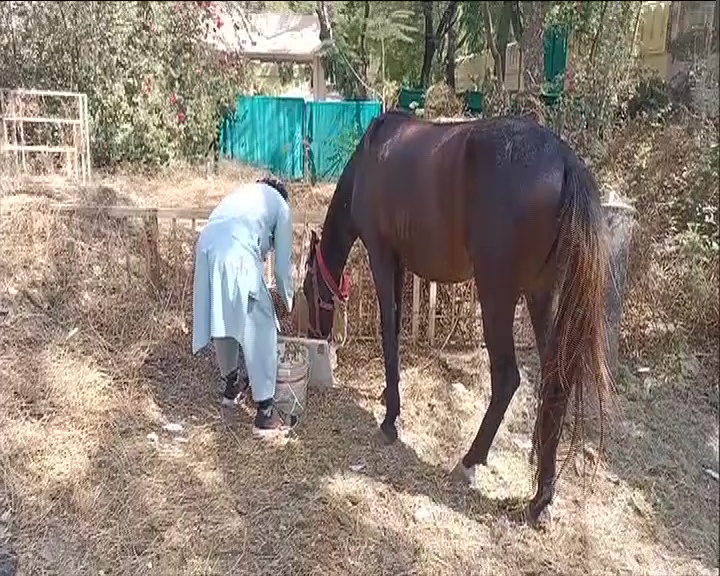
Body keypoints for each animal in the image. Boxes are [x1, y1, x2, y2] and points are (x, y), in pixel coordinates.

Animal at [302, 106, 612, 524]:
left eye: (307, 291)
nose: (314, 335)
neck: (370, 157)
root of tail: (564, 160)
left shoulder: (382, 256)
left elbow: (387, 330)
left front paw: (390, 420)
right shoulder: (399, 264)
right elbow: (395, 331)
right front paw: (387, 395)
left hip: (497, 296)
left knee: (507, 378)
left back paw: (470, 459)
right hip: (541, 294)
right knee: (555, 382)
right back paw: (541, 499)